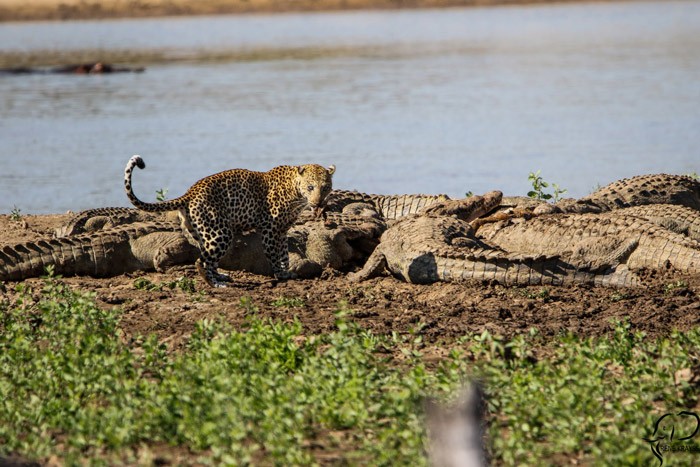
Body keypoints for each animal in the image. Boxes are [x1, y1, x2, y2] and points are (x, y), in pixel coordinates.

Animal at [124, 155, 334, 288]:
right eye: (310, 187)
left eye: (325, 187)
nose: (318, 203)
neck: (295, 191)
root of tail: (189, 193)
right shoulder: (270, 230)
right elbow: (274, 255)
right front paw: (281, 275)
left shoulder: (282, 231)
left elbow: (284, 255)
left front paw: (287, 272)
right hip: (220, 233)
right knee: (202, 261)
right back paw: (215, 284)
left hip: (201, 233)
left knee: (209, 259)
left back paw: (221, 276)